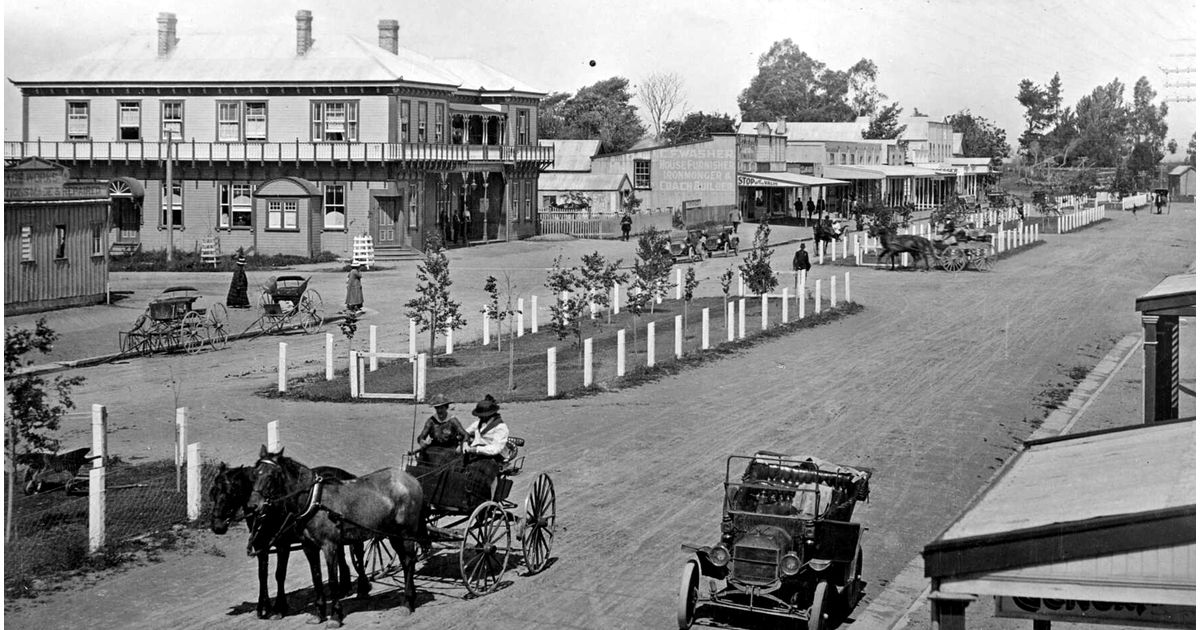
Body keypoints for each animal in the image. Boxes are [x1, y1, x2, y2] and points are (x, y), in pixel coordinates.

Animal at [248, 444, 427, 624]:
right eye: (254, 474)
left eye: (271, 476)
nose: (253, 506)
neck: (314, 501)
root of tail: (412, 479)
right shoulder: (309, 547)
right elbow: (316, 577)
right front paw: (319, 613)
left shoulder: (330, 546)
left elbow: (333, 580)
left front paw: (335, 615)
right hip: (393, 534)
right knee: (405, 561)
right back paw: (410, 596)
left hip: (406, 533)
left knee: (409, 561)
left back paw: (406, 602)